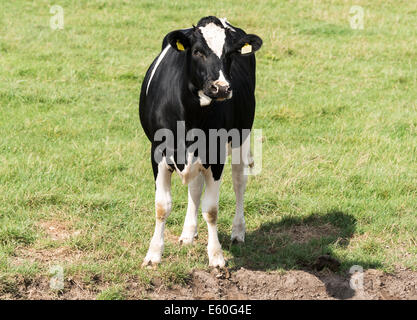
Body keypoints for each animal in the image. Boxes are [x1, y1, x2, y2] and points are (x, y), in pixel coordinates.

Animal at [141, 15, 262, 268]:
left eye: (231, 53)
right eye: (197, 51)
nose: (222, 88)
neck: (191, 117)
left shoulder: (215, 155)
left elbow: (212, 209)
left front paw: (216, 256)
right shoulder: (157, 153)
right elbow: (162, 206)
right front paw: (154, 254)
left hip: (242, 136)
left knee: (239, 182)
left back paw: (238, 231)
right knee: (195, 188)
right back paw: (188, 232)